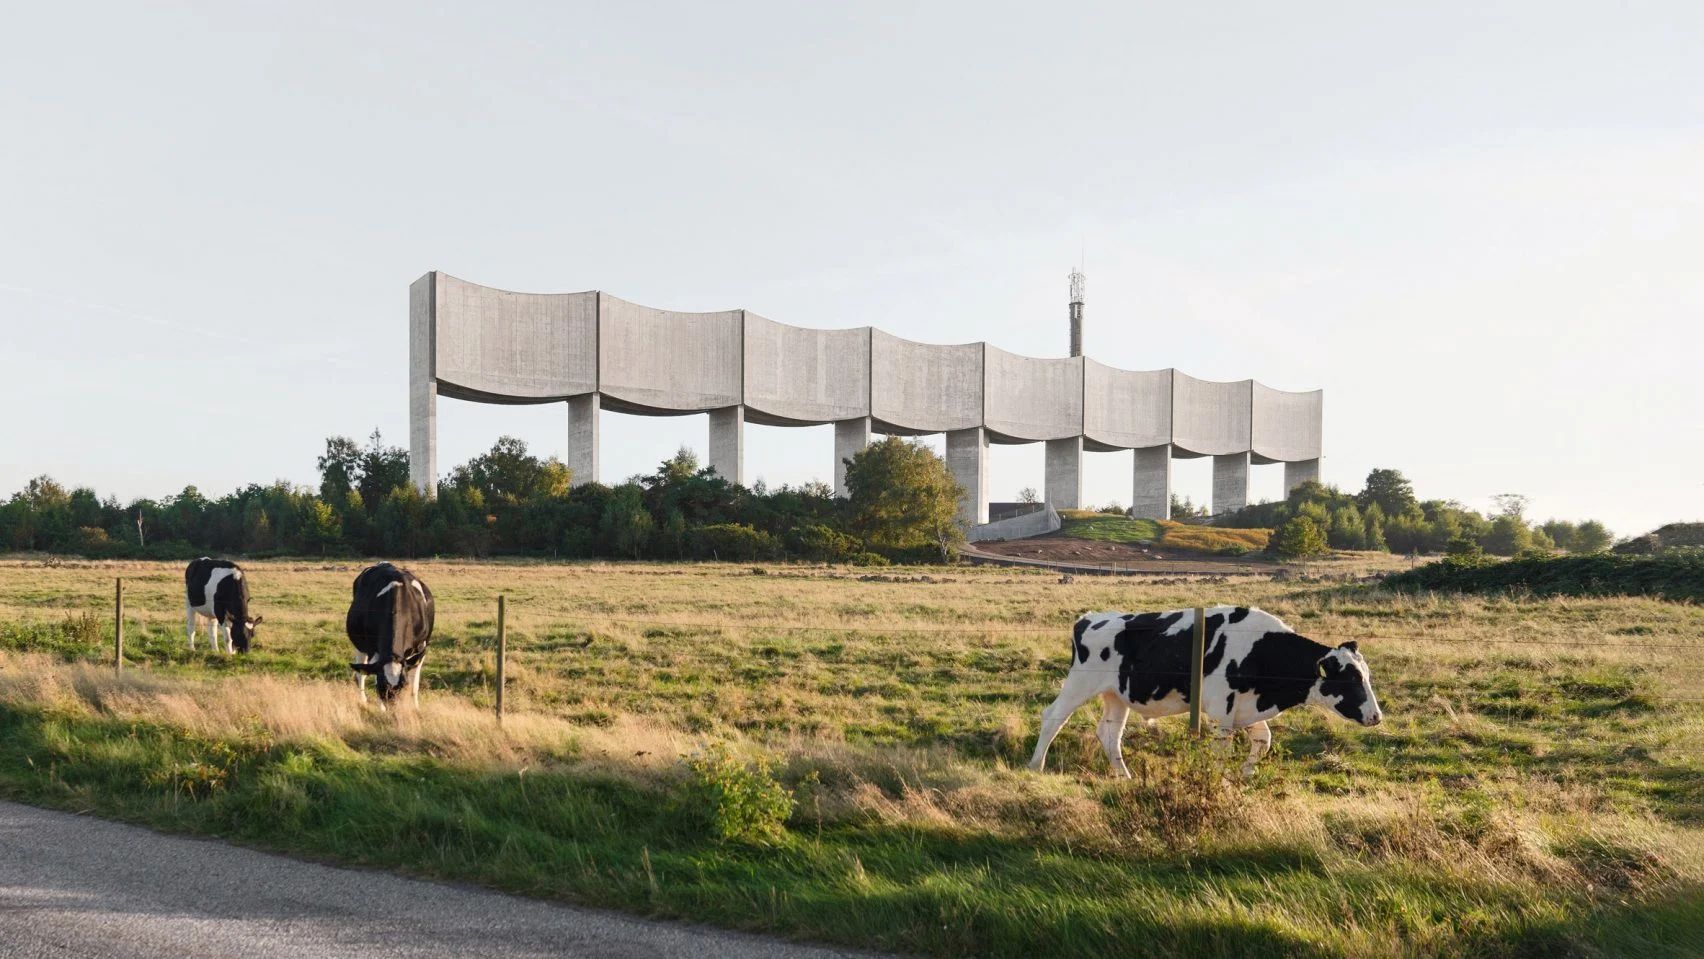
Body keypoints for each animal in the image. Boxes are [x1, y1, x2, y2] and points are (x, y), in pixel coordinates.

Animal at [344, 562, 432, 705]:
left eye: (404, 684)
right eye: (382, 687)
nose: (394, 707)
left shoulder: (420, 648)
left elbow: (414, 685)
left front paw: (414, 706)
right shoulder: (374, 650)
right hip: (360, 645)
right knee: (361, 673)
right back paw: (362, 700)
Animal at [1022, 606, 1383, 780]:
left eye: (1366, 675)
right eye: (1350, 679)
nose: (1377, 716)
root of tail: (1089, 618)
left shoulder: (1246, 707)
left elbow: (1263, 741)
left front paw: (1243, 776)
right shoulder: (1221, 708)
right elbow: (1223, 750)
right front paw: (1222, 781)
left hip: (1117, 695)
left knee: (1110, 733)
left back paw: (1123, 775)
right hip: (1080, 682)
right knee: (1053, 717)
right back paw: (1036, 765)